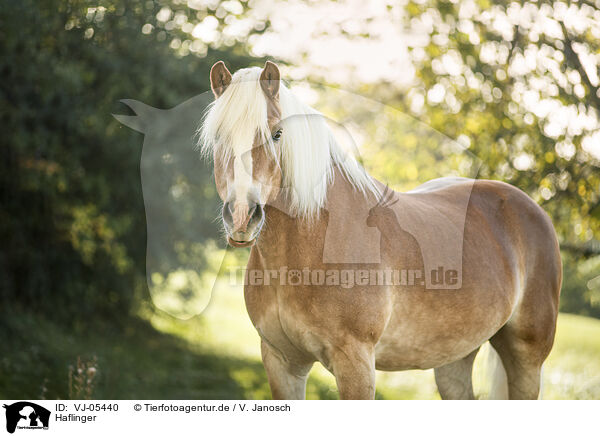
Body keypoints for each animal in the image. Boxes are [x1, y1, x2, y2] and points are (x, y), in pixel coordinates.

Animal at [199, 60, 560, 398]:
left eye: (277, 134)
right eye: (218, 138)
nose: (242, 216)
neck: (313, 244)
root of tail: (530, 207)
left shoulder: (356, 363)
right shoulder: (281, 362)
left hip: (527, 357)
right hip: (455, 357)